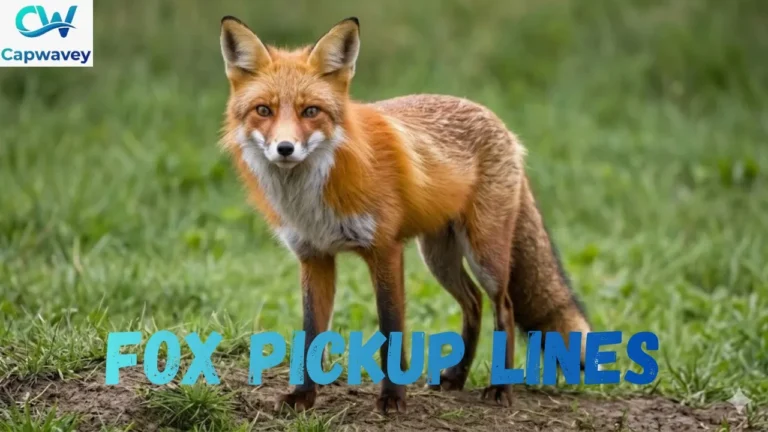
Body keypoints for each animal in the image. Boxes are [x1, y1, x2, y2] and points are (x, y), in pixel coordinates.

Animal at [218, 16, 592, 414]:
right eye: (264, 110)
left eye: (310, 111)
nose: (285, 148)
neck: (311, 197)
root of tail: (499, 122)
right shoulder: (314, 257)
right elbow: (311, 333)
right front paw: (303, 395)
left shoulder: (385, 249)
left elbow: (390, 326)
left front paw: (393, 398)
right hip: (438, 258)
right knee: (473, 303)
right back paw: (457, 376)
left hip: (485, 254)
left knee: (502, 307)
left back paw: (500, 387)